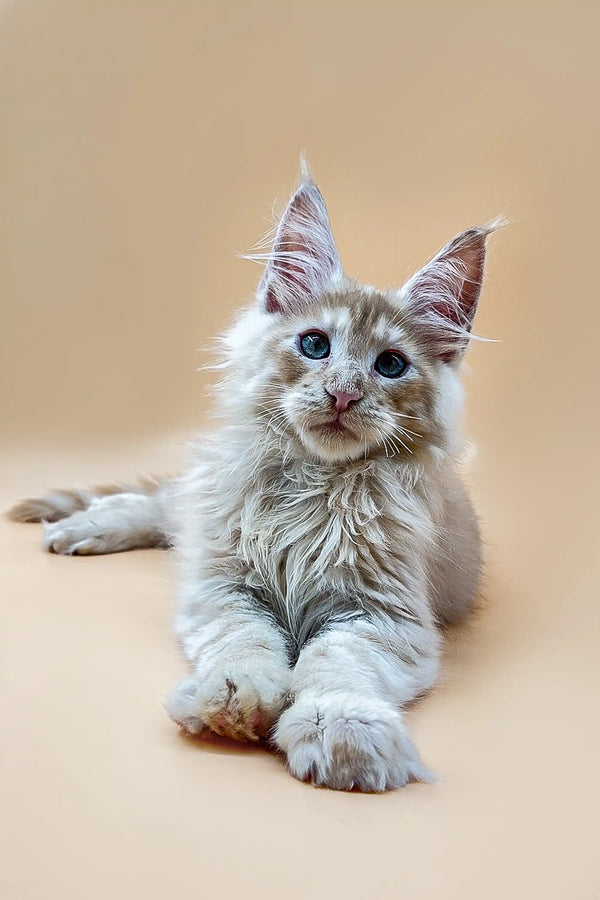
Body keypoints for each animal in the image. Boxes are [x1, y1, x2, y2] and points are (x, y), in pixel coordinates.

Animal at [8, 165, 496, 792]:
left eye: (390, 365)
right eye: (315, 344)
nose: (342, 393)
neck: (314, 485)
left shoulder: (382, 614)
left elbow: (338, 664)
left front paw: (342, 729)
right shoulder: (226, 586)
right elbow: (244, 643)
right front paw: (232, 697)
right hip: (207, 501)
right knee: (163, 504)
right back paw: (84, 525)